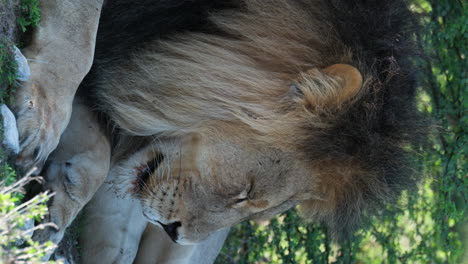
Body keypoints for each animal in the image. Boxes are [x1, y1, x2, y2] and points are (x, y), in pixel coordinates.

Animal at [12, 0, 424, 260]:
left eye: (255, 212)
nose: (175, 232)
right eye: (246, 192)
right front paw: (39, 114)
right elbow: (79, 33)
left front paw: (54, 205)